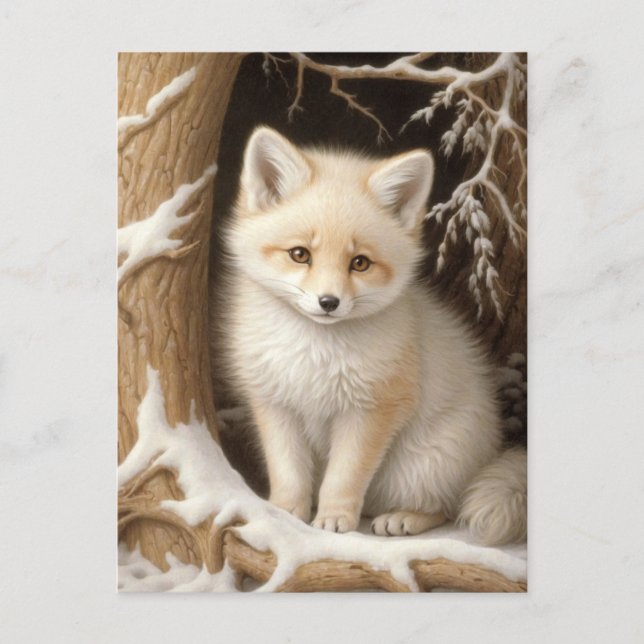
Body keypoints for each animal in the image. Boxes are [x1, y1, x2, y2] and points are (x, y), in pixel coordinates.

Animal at [214, 126, 527, 546]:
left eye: (359, 263)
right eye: (300, 254)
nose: (328, 302)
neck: (314, 353)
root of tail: (491, 450)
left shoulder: (371, 409)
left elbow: (343, 477)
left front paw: (333, 520)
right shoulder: (276, 404)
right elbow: (289, 473)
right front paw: (284, 514)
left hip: (421, 466)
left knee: (447, 506)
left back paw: (404, 518)